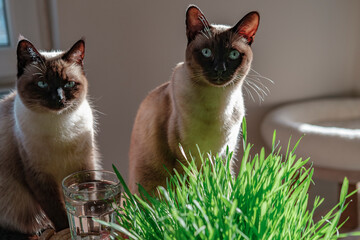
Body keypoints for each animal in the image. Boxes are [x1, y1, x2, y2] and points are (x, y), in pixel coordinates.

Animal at [0, 37, 100, 234]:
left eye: (68, 84)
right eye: (42, 84)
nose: (58, 99)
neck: (60, 126)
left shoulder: (84, 166)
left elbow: (89, 205)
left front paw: (95, 229)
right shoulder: (39, 177)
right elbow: (57, 211)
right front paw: (66, 231)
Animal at [129, 4, 258, 194]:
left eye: (233, 54)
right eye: (206, 52)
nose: (220, 69)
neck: (216, 105)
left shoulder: (222, 156)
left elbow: (223, 190)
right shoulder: (185, 158)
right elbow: (190, 194)